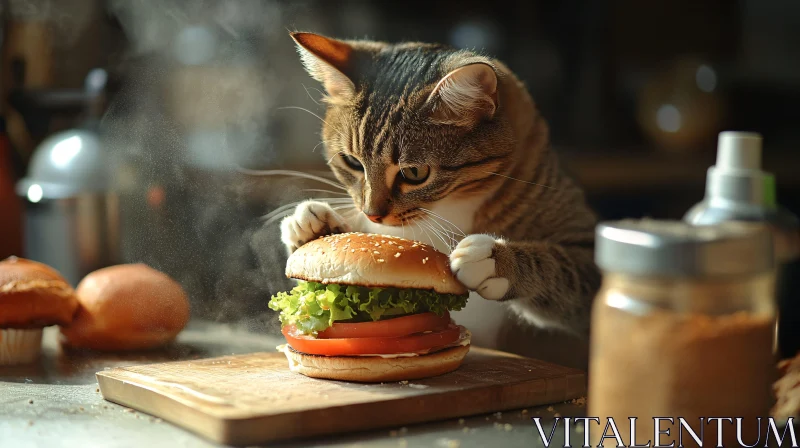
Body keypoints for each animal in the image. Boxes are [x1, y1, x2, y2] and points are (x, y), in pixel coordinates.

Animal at [282, 32, 600, 336]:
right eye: (352, 162)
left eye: (414, 173)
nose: (372, 214)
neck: (447, 206)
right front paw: (313, 226)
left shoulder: (586, 254)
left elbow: (561, 268)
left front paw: (497, 260)